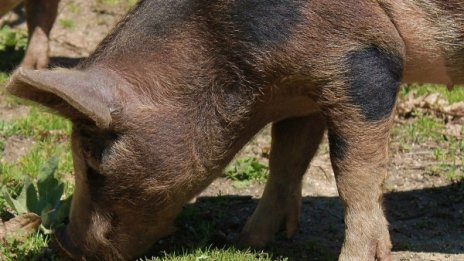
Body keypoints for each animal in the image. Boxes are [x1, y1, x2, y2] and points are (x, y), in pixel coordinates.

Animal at [4, 0, 464, 258]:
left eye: (91, 160)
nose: (64, 244)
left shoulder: (366, 60)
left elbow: (353, 173)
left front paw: (355, 257)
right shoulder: (304, 90)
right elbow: (286, 159)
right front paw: (247, 243)